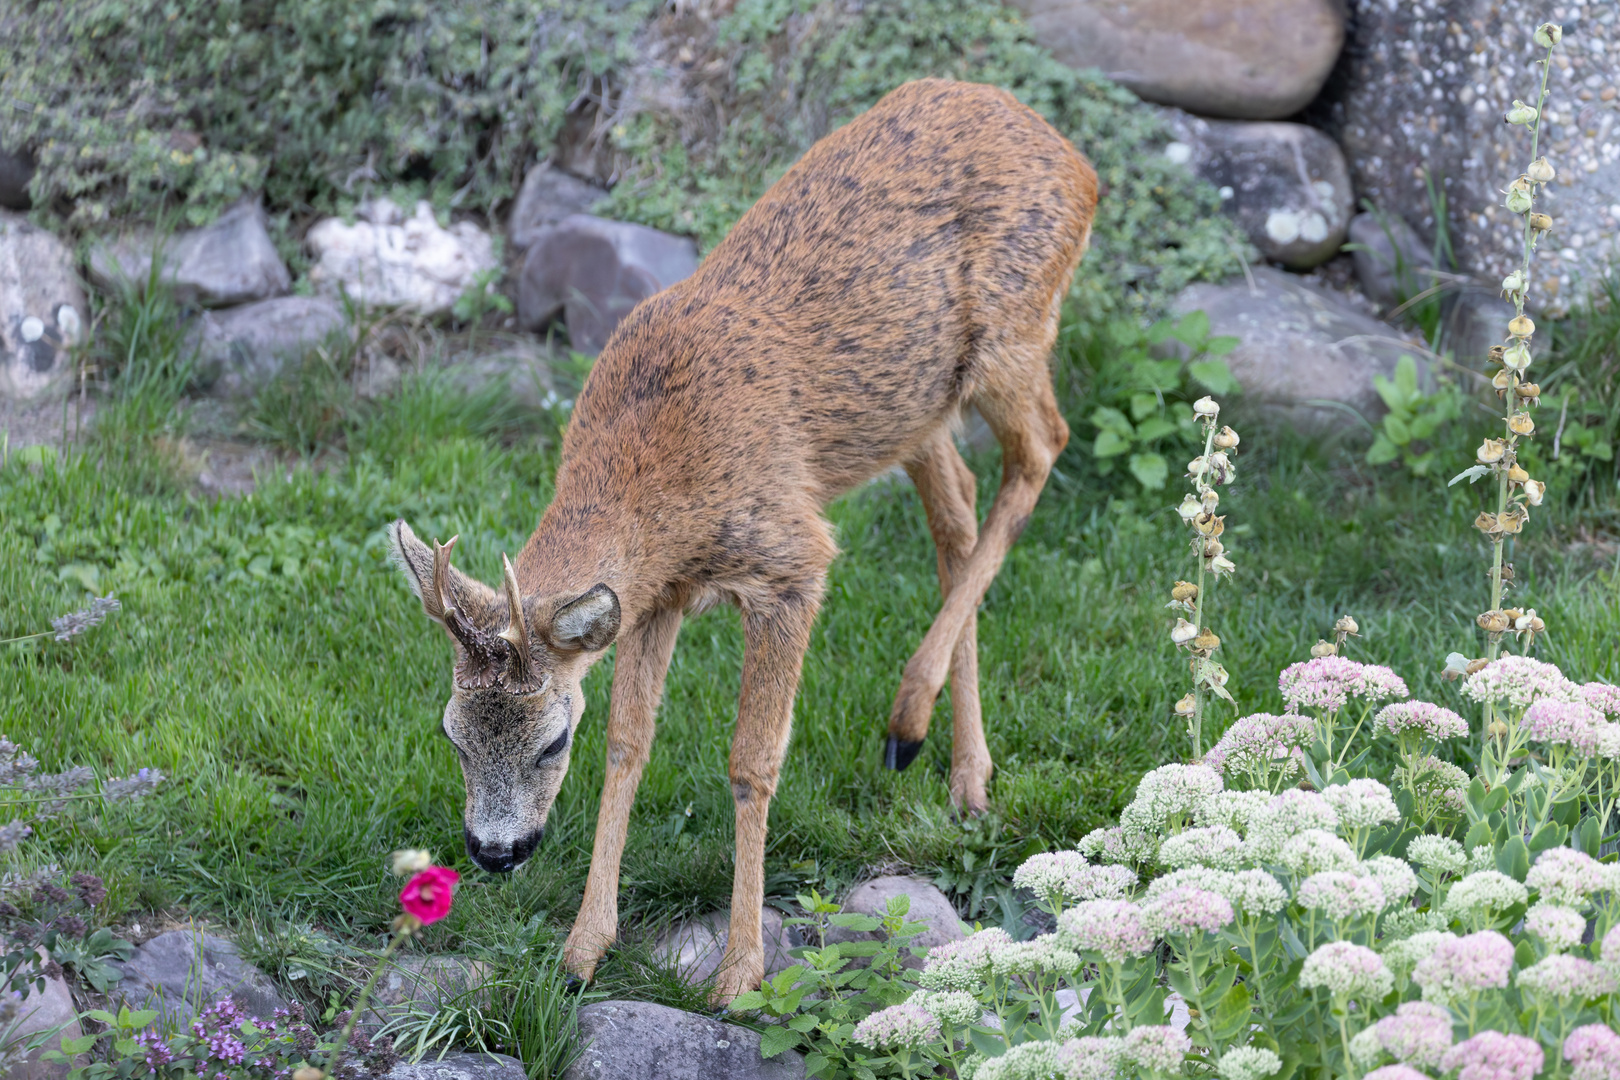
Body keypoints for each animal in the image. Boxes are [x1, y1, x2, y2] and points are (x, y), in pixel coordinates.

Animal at [392, 76, 1101, 1003]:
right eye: (451, 733)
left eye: (551, 741)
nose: (494, 852)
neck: (656, 473)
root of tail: (1075, 158)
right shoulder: (654, 596)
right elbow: (630, 744)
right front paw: (582, 951)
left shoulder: (791, 560)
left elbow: (751, 760)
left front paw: (740, 975)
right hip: (915, 405)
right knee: (960, 511)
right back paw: (963, 773)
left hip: (1015, 333)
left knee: (1042, 450)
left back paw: (909, 713)